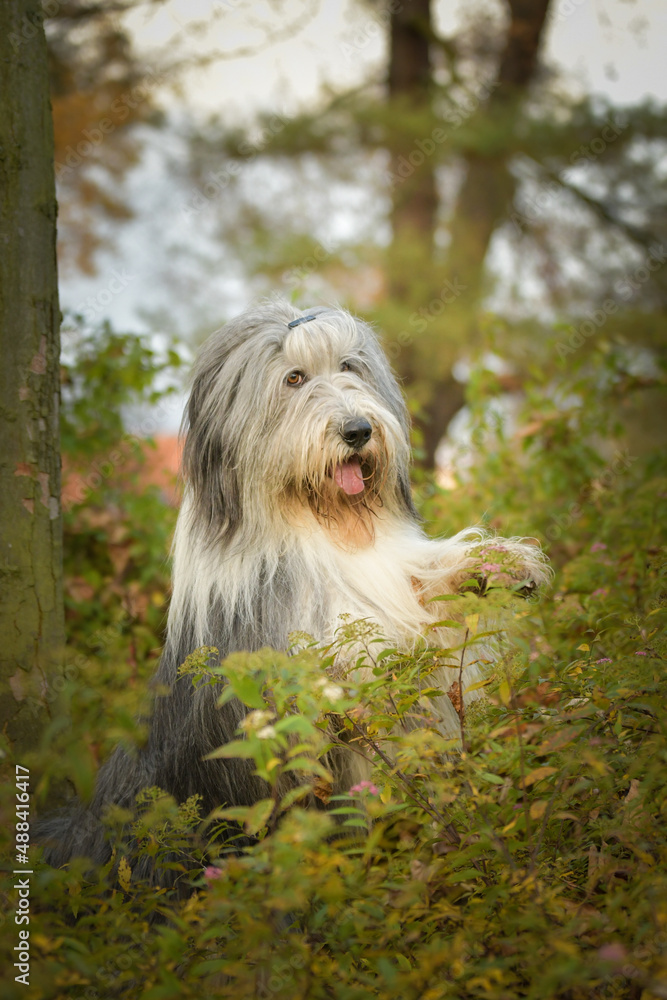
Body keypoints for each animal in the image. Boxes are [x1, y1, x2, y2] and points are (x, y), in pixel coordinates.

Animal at [43, 300, 552, 880]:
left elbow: (421, 597)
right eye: (294, 378)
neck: (321, 527)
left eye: (349, 367)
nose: (358, 430)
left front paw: (495, 567)